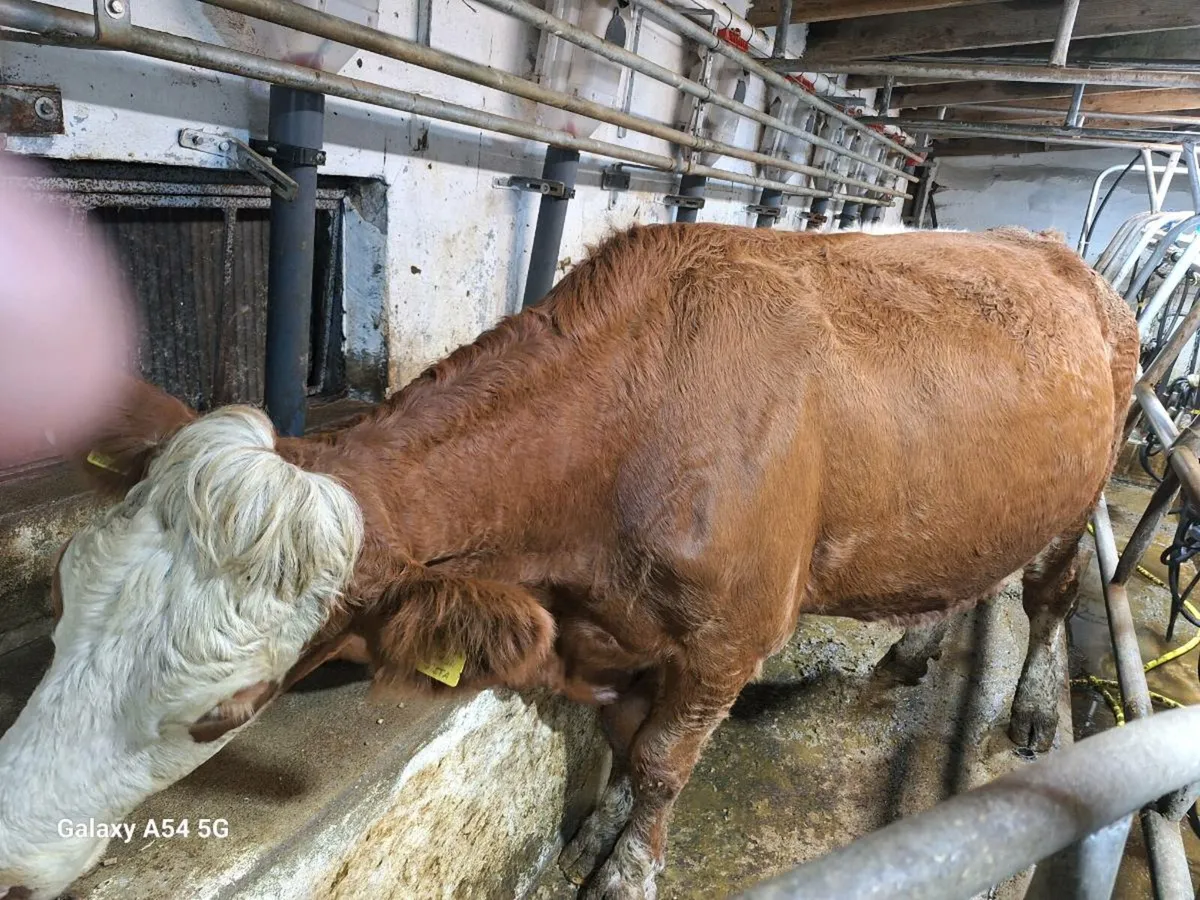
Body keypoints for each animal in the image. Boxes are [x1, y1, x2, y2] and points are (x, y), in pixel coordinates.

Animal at [0, 223, 1137, 900]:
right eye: (60, 601)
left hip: (1081, 494)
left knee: (1050, 593)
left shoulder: (727, 641)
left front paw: (627, 869)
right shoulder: (606, 629)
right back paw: (916, 646)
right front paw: (594, 838)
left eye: (224, 713)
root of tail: (1050, 245)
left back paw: (1035, 705)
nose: (10, 853)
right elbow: (625, 743)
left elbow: (664, 762)